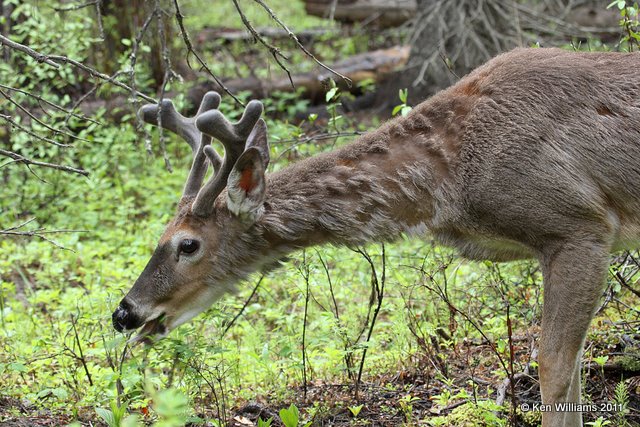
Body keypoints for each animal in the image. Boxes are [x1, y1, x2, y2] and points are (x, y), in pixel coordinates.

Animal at [114, 47, 640, 427]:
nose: (124, 312)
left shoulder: (579, 224)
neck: (447, 180)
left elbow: (553, 367)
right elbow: (573, 369)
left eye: (188, 244)